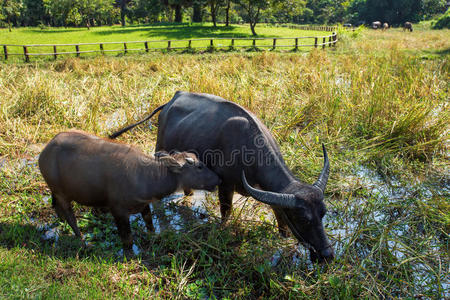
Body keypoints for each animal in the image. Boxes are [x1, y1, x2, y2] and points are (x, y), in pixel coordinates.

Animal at [39, 130, 219, 254]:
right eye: (199, 166)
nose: (218, 180)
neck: (145, 176)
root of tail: (44, 152)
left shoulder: (144, 205)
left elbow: (150, 226)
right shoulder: (118, 212)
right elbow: (128, 239)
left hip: (56, 192)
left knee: (56, 206)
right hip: (62, 194)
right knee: (71, 217)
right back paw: (82, 240)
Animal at [109, 92, 334, 262]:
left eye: (322, 213)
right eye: (303, 219)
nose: (328, 255)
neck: (249, 149)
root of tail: (173, 98)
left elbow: (279, 214)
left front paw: (283, 236)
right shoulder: (225, 185)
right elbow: (226, 211)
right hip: (159, 149)